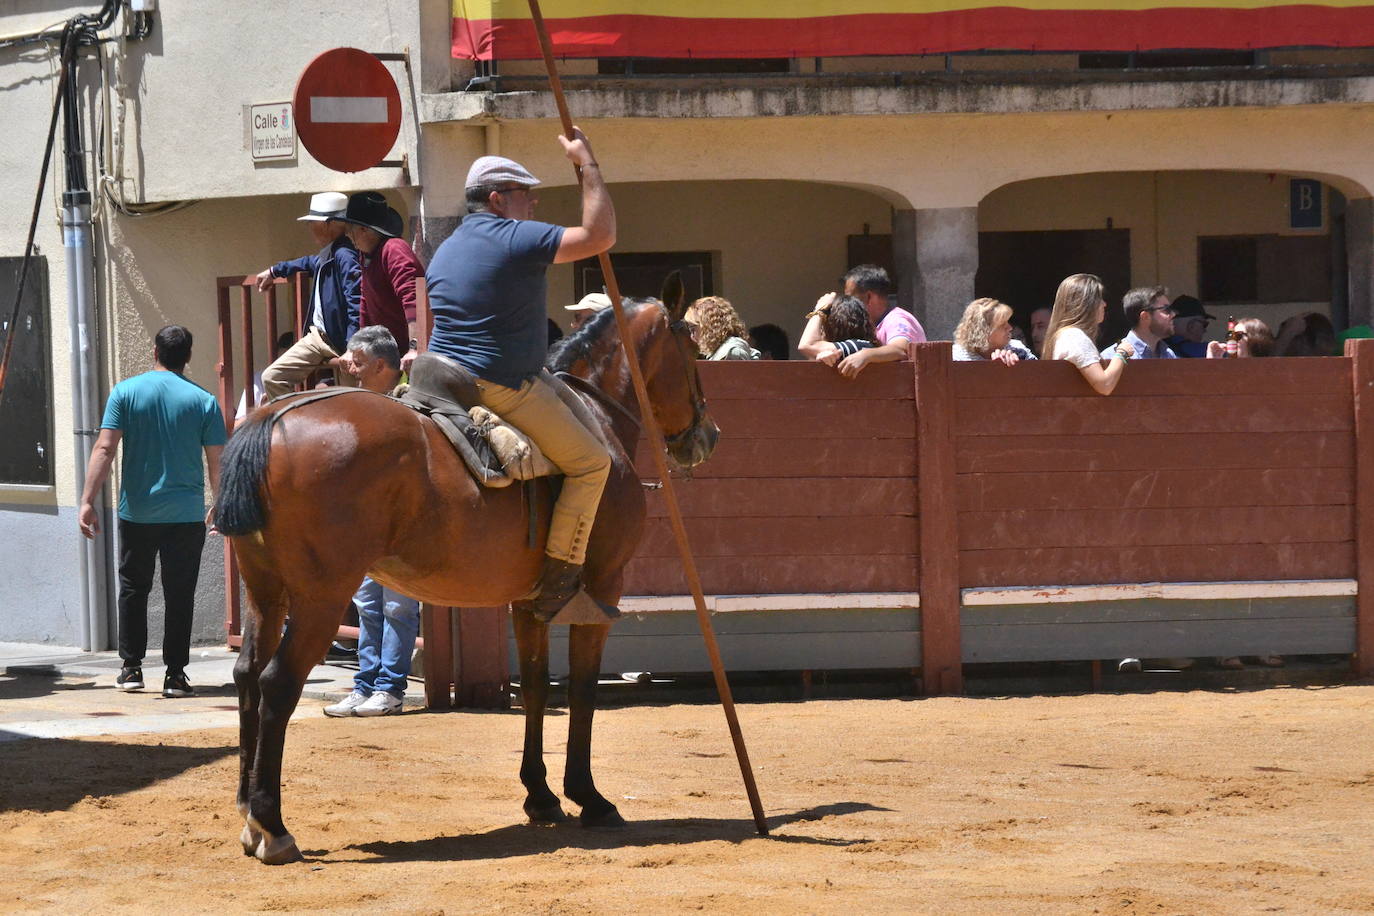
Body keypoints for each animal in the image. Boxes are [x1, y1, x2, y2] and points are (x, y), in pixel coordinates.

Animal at [214, 281, 719, 867]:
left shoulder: (529, 602)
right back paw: (272, 827)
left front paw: (540, 796)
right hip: (320, 598)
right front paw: (589, 798)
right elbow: (583, 691)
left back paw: (247, 812)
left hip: (265, 593)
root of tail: (268, 418)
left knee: (247, 675)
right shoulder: (600, 591)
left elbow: (537, 689)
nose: (707, 434)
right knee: (277, 684)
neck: (596, 414)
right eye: (691, 348)